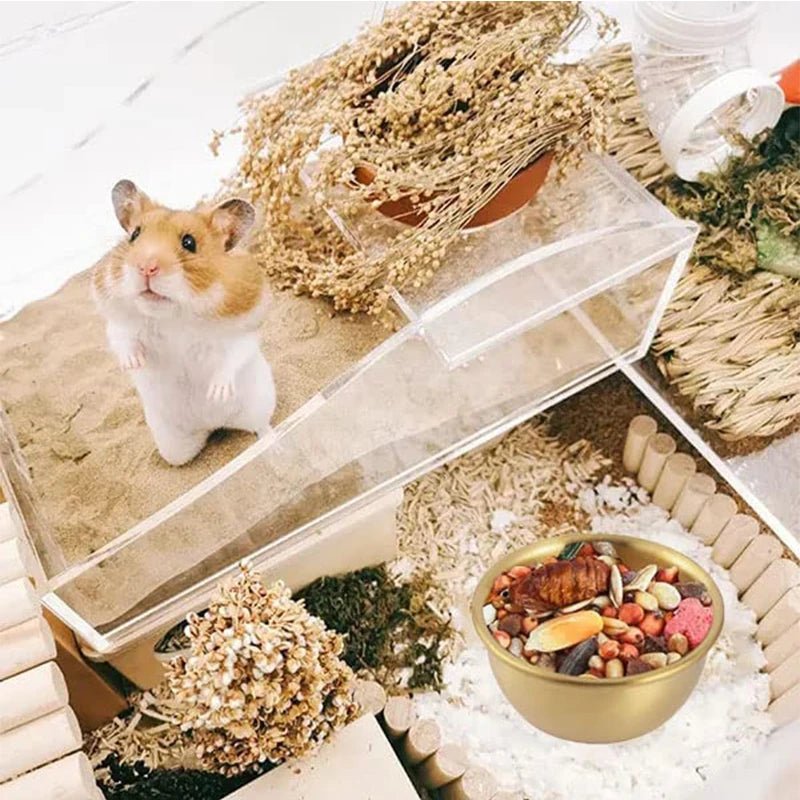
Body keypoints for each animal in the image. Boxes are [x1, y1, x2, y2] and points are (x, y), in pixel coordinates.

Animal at [92, 179, 276, 466]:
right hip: (171, 441)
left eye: (189, 242)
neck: (173, 316)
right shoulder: (120, 324)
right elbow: (123, 341)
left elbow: (232, 358)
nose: (146, 267)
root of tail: (213, 425)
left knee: (262, 427)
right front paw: (133, 364)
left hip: (260, 403)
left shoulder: (240, 332)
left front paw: (216, 393)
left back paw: (271, 442)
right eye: (134, 235)